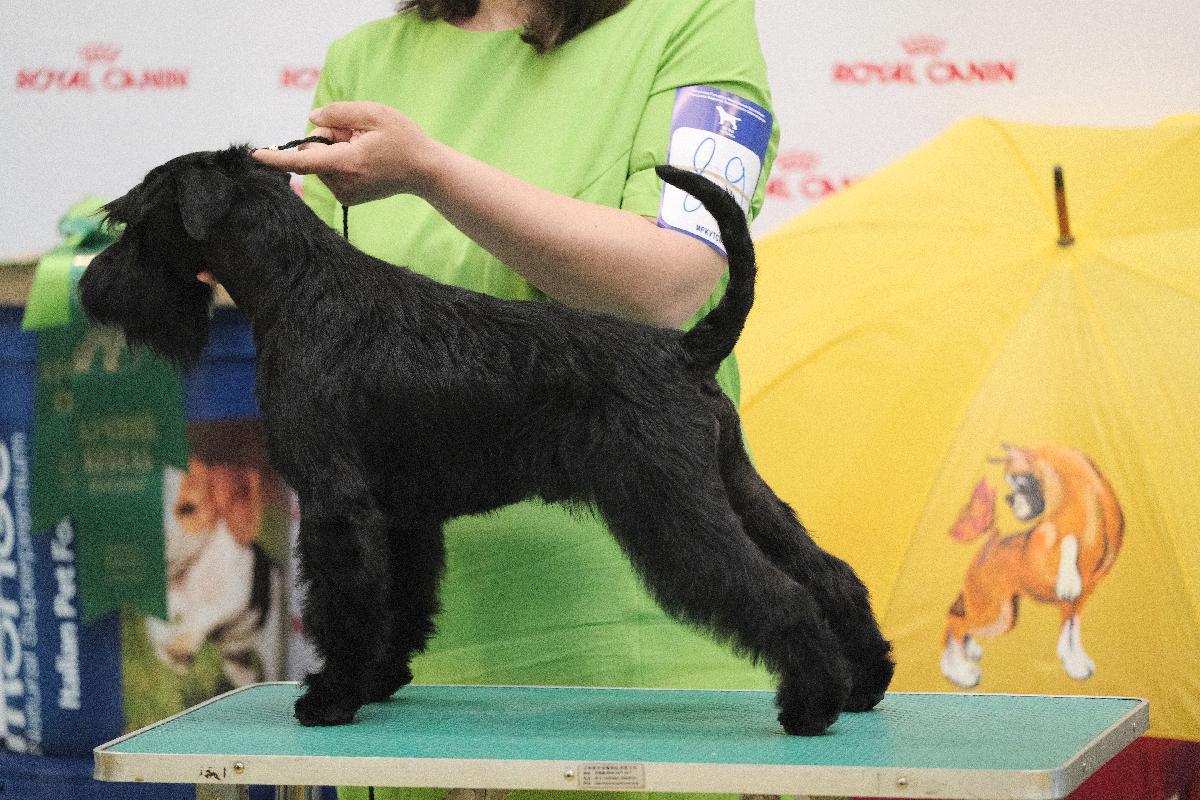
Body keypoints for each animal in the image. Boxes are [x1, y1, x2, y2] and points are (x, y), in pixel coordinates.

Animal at [78, 145, 893, 734]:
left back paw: (811, 704)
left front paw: (331, 698)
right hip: (731, 485)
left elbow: (347, 601)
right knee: (826, 573)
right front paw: (378, 681)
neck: (298, 286)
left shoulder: (337, 503)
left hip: (670, 506)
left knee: (778, 593)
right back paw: (866, 683)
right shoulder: (399, 514)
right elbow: (398, 602)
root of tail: (685, 349)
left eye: (133, 222)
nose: (91, 288)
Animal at [941, 443, 1123, 688]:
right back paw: (960, 672)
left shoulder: (1079, 601)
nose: (1009, 499)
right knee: (955, 624)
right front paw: (1068, 580)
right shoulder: (1047, 551)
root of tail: (989, 544)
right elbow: (1068, 540)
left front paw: (1075, 661)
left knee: (959, 622)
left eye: (1018, 481)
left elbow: (1071, 633)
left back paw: (966, 655)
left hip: (997, 610)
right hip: (997, 614)